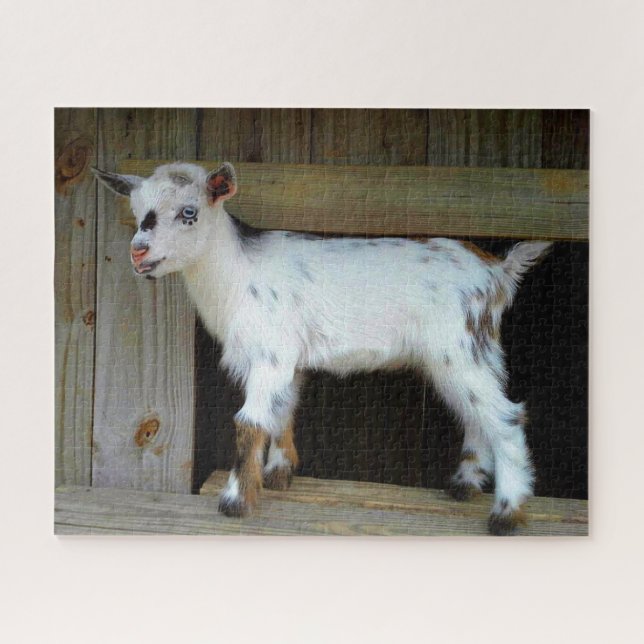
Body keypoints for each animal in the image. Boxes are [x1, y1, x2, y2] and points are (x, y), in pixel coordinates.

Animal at [94, 161, 551, 535]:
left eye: (189, 212)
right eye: (136, 210)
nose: (138, 252)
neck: (237, 273)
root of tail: (497, 270)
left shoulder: (270, 353)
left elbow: (249, 423)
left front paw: (236, 502)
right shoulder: (286, 359)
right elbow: (282, 411)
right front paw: (279, 474)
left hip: (459, 346)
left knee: (505, 416)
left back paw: (506, 514)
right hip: (467, 352)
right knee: (473, 412)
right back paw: (464, 485)